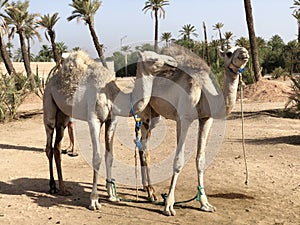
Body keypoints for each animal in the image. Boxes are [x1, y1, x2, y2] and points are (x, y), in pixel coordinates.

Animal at [43, 49, 177, 209]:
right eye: (152, 58)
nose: (173, 62)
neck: (111, 95)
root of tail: (51, 81)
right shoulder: (94, 120)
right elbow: (97, 158)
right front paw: (94, 200)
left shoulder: (112, 120)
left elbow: (109, 156)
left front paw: (112, 195)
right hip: (49, 104)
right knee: (49, 145)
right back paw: (52, 186)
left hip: (63, 115)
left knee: (57, 147)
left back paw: (63, 188)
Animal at [127, 44, 250, 215]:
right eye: (228, 52)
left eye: (241, 47)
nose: (244, 53)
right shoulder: (183, 118)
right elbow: (178, 160)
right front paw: (169, 205)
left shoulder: (206, 119)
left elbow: (200, 160)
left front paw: (205, 204)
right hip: (144, 110)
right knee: (144, 146)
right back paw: (151, 193)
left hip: (156, 116)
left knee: (141, 144)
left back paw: (147, 189)